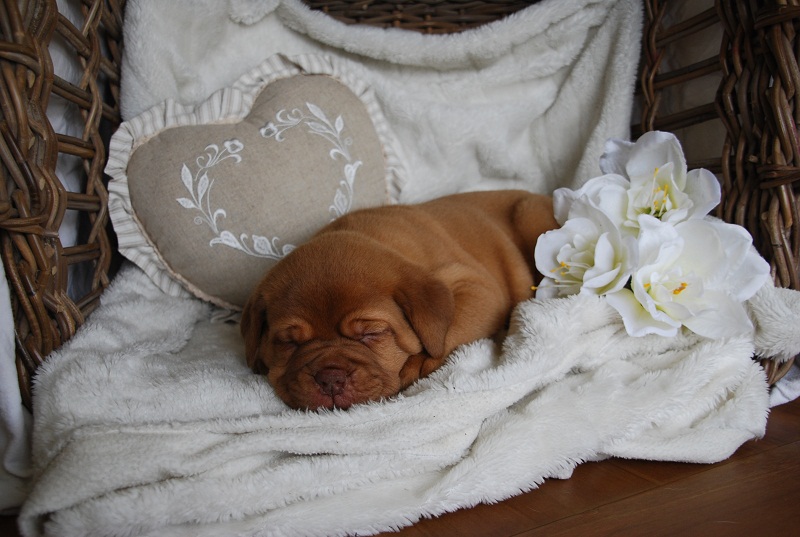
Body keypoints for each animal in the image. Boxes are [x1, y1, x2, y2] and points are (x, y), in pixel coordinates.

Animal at [241, 191, 560, 408]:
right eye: (289, 342)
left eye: (371, 334)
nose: (330, 379)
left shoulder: (478, 286)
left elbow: (449, 330)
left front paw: (416, 364)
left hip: (532, 218)